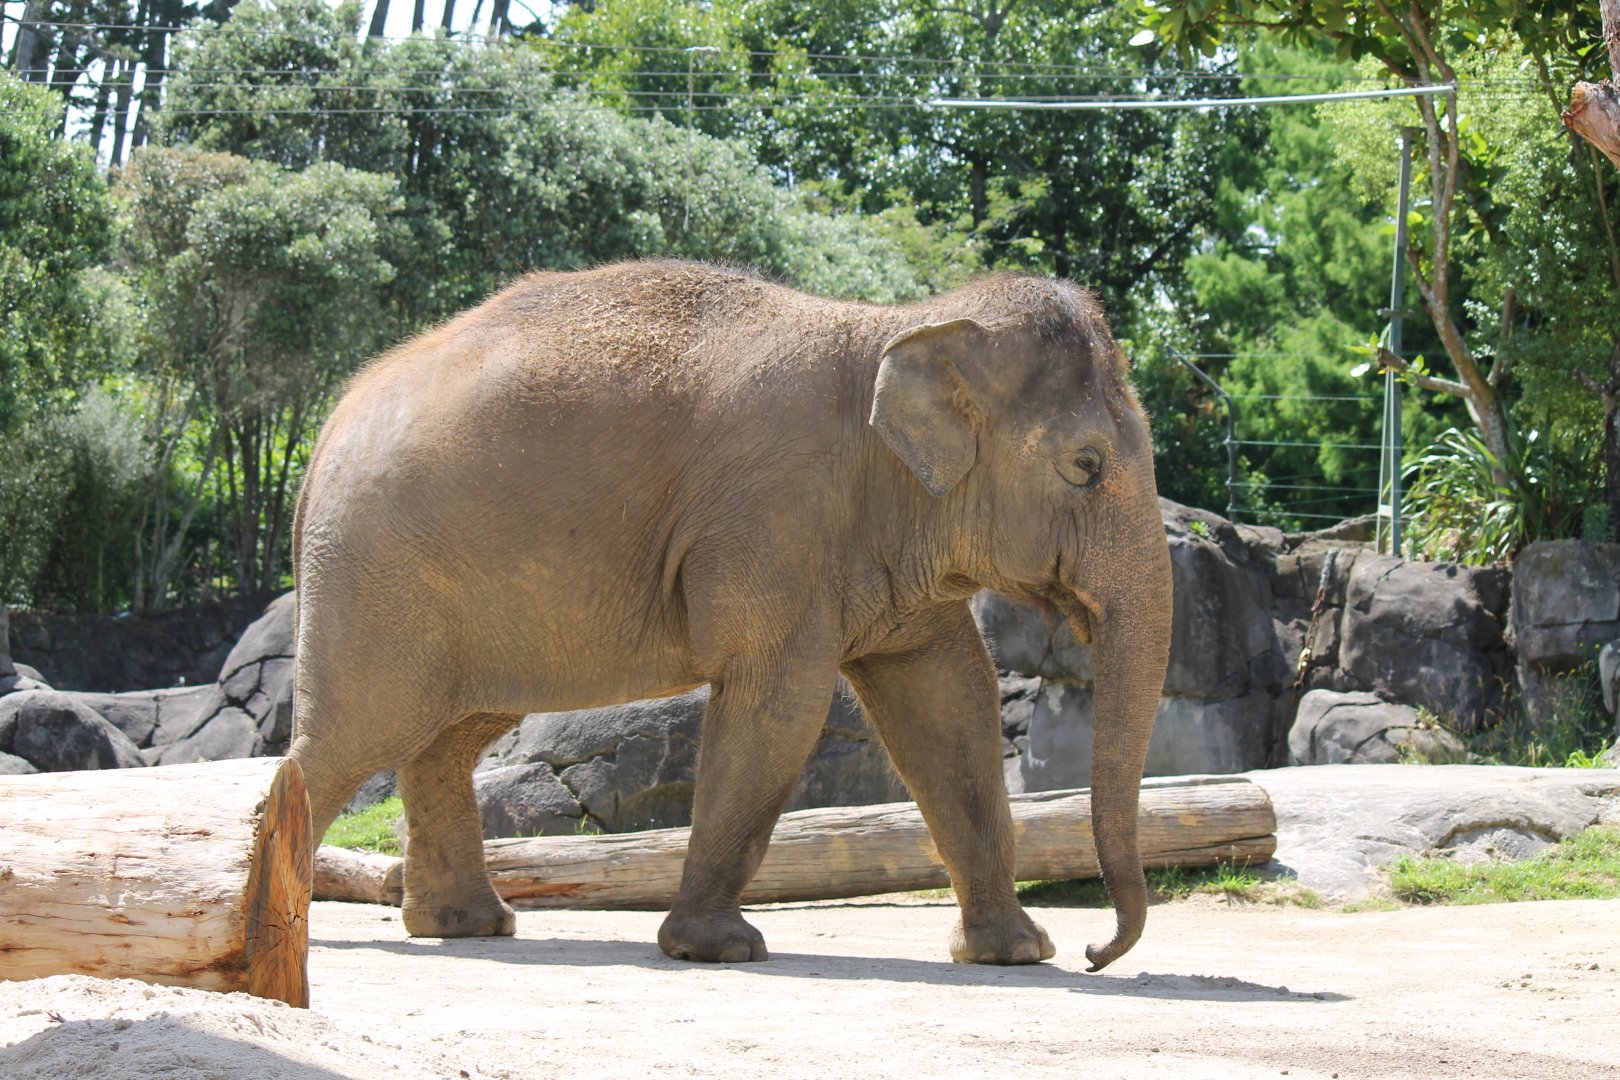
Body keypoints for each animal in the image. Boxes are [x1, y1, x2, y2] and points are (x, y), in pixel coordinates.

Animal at [289, 259, 1173, 972]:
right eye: (1086, 466)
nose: (1096, 952)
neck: (899, 324)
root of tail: (328, 424)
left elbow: (951, 701)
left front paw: (1016, 953)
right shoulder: (773, 520)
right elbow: (780, 704)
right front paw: (717, 949)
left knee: (448, 734)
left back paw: (466, 927)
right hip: (379, 571)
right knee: (358, 733)